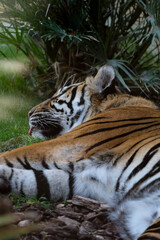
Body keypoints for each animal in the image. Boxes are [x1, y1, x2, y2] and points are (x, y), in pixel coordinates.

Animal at [0, 64, 160, 239]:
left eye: (58, 96)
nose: (29, 112)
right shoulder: (87, 180)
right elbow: (35, 180)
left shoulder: (67, 145)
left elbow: (10, 154)